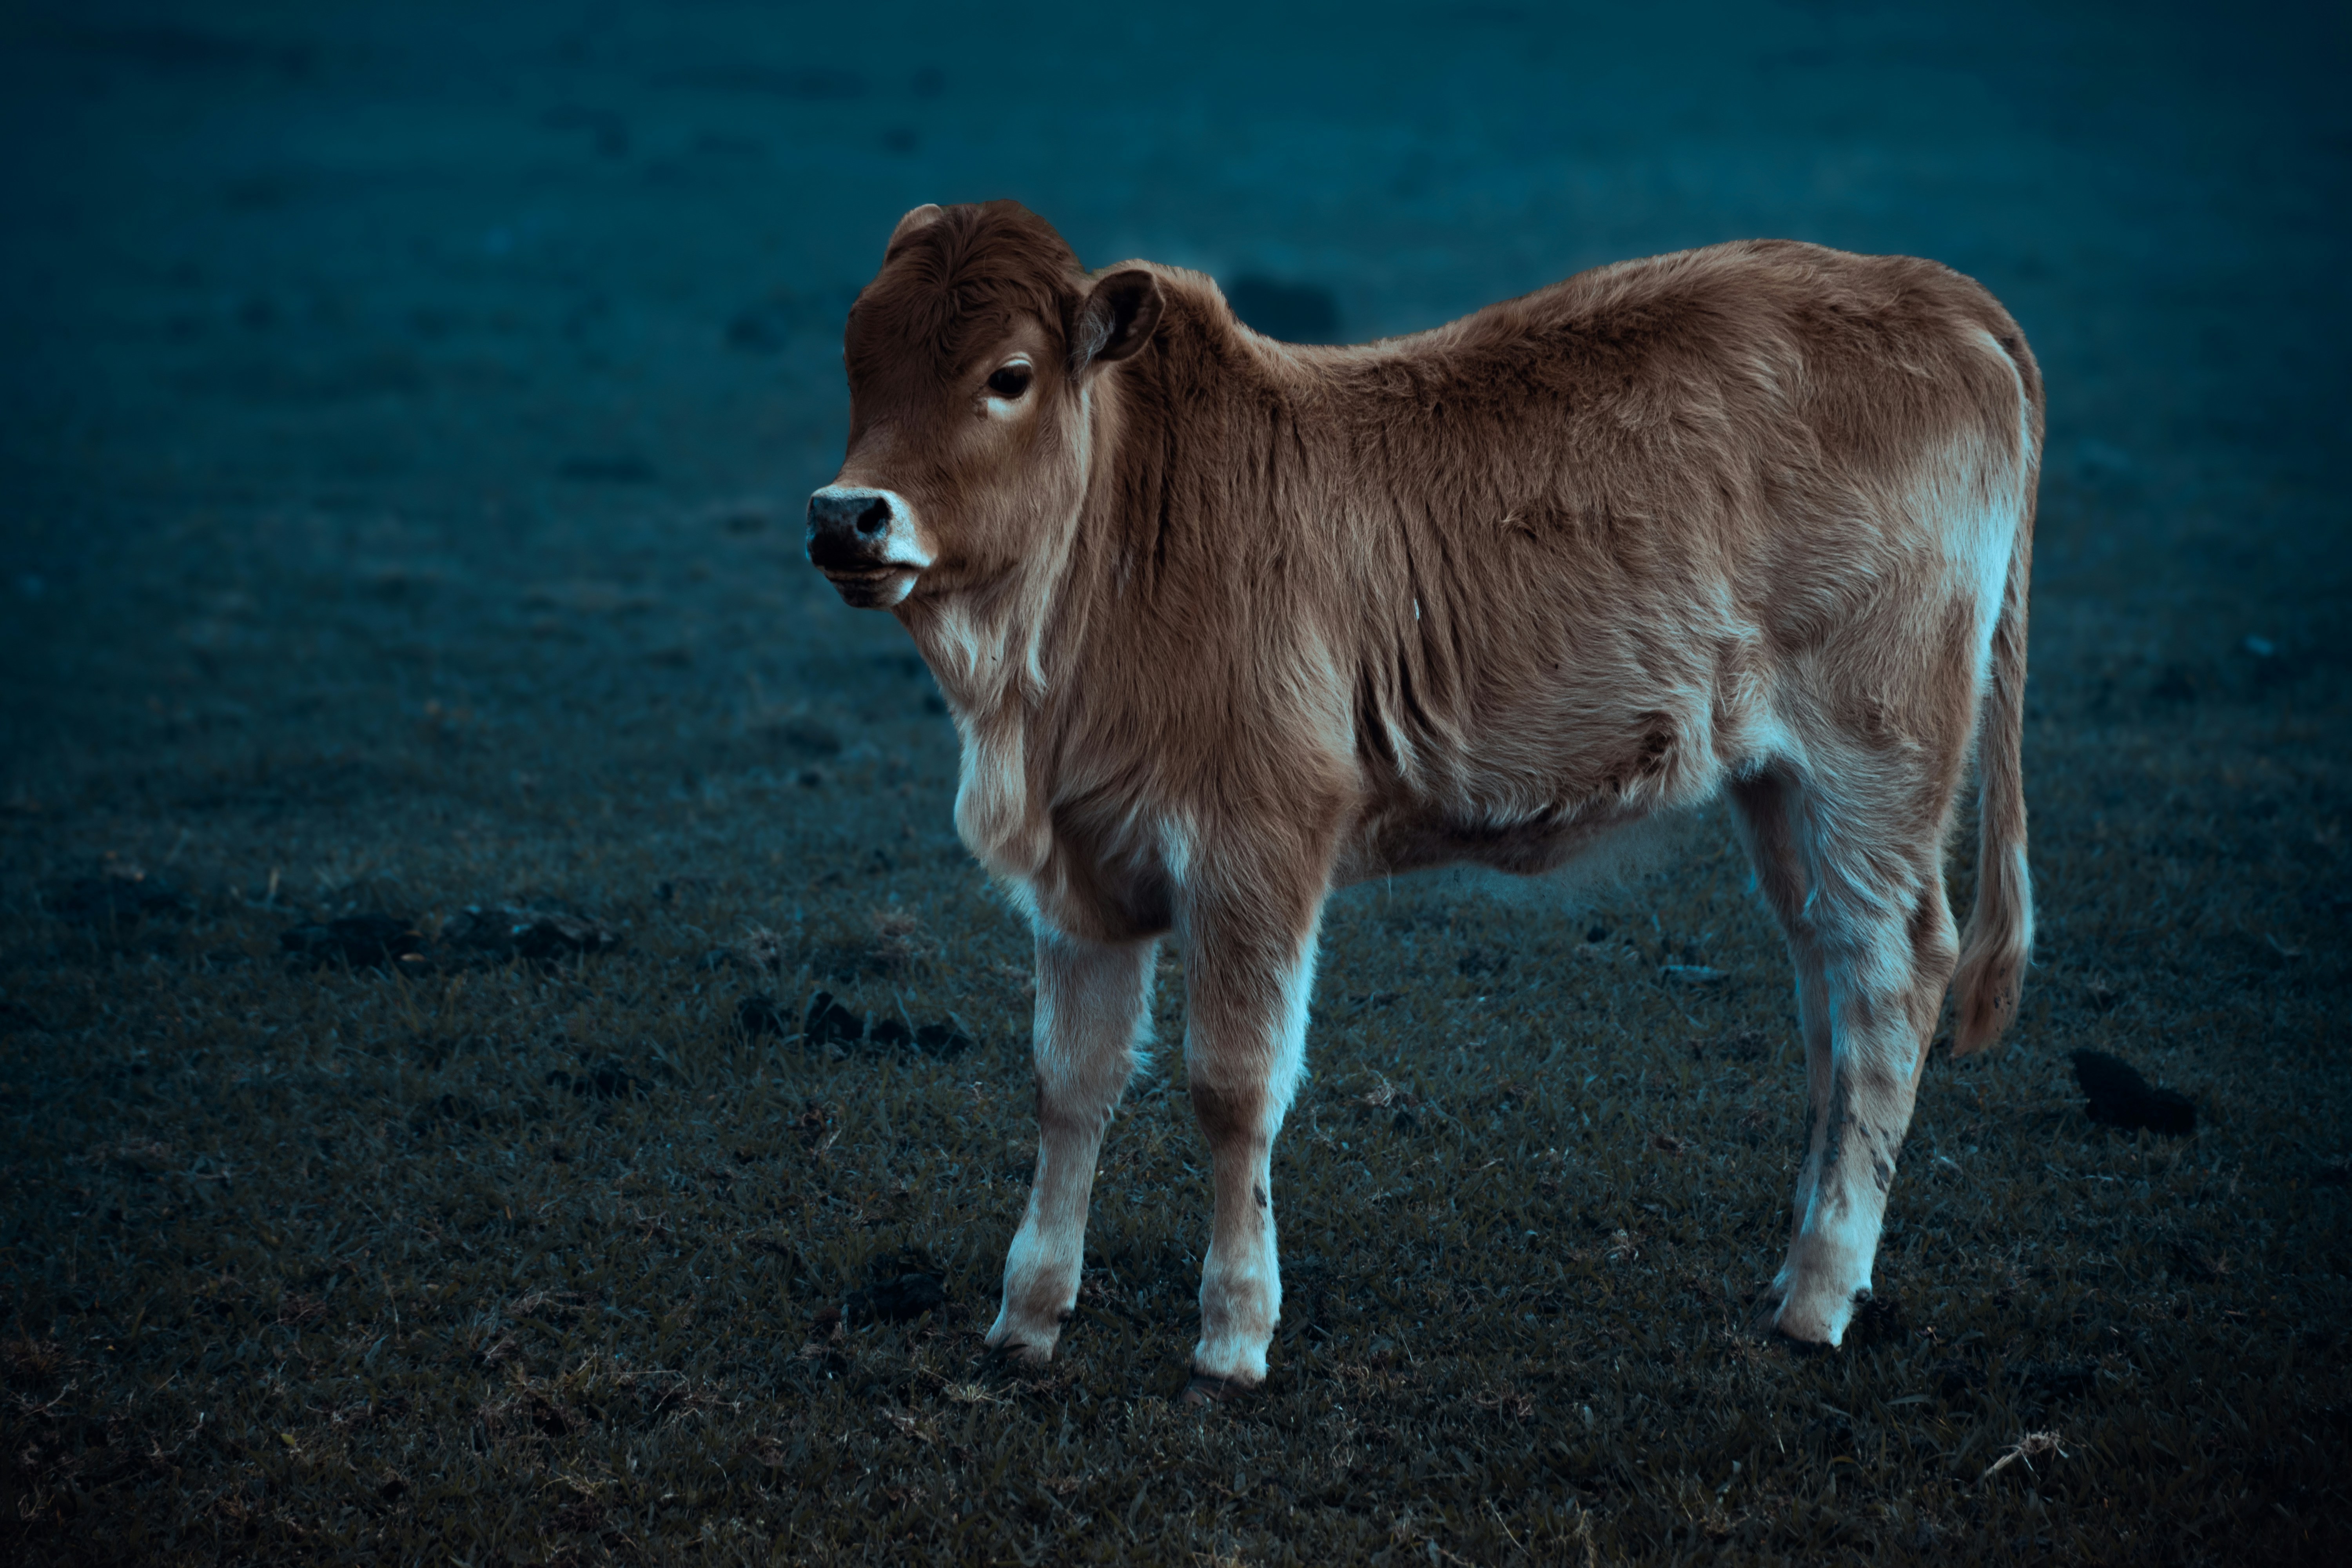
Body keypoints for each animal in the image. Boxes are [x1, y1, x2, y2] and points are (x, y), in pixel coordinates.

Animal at [804, 199, 2038, 1399]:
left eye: (1008, 375)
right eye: (857, 357)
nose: (845, 514)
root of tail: (1936, 293)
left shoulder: (1259, 847)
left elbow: (1232, 1088)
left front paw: (1234, 1331)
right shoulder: (1082, 878)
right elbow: (1070, 1084)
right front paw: (1026, 1315)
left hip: (1875, 761)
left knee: (1890, 982)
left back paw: (1820, 1295)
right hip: (1782, 790)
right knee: (1829, 982)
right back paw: (1800, 1267)